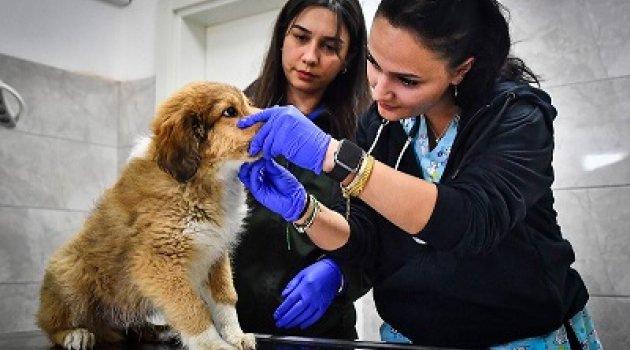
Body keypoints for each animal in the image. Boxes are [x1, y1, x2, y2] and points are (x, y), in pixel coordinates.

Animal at [35, 80, 262, 348]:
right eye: (230, 111)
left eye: (248, 103)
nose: (284, 114)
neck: (199, 181)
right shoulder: (158, 261)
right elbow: (192, 307)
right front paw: (214, 344)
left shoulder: (216, 253)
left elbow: (226, 298)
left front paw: (235, 335)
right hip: (68, 269)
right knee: (52, 323)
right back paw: (75, 334)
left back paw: (160, 331)